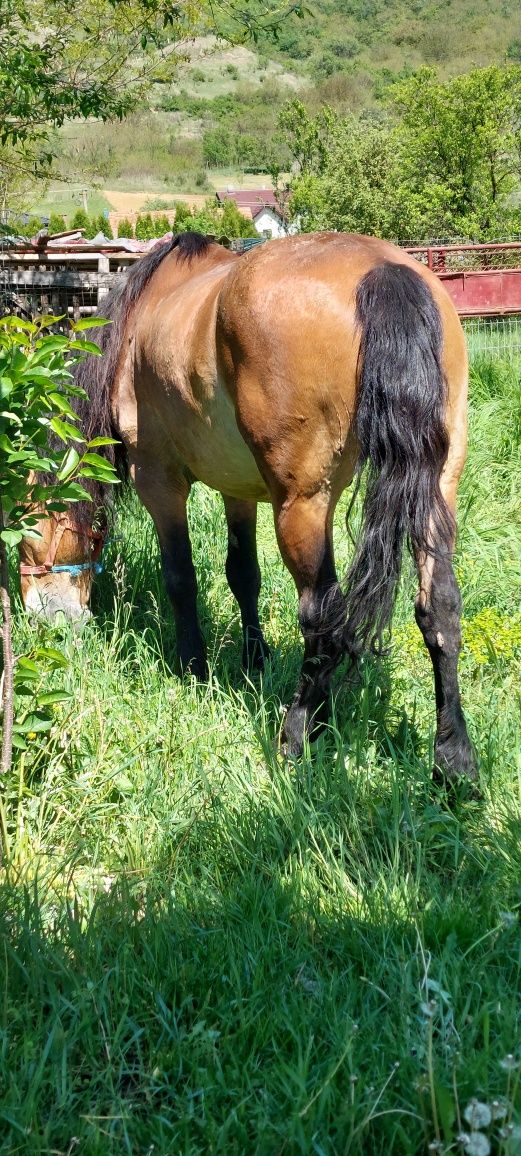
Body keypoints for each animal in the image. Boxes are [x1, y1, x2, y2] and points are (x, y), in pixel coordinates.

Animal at [19, 230, 478, 781]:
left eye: (22, 529)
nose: (46, 620)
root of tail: (382, 269)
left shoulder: (158, 480)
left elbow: (181, 578)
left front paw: (192, 668)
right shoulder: (237, 488)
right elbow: (243, 575)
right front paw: (253, 660)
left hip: (302, 504)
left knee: (322, 616)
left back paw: (299, 734)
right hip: (436, 488)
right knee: (440, 608)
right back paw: (453, 760)